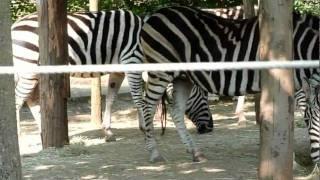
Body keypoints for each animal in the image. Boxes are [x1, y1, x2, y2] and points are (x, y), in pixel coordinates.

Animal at [140, 6, 320, 162]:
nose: (209, 127)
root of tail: (155, 14)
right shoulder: (295, 83)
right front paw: (292, 159)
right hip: (160, 71)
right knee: (147, 106)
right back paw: (154, 153)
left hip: (183, 78)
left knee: (176, 110)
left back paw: (195, 152)